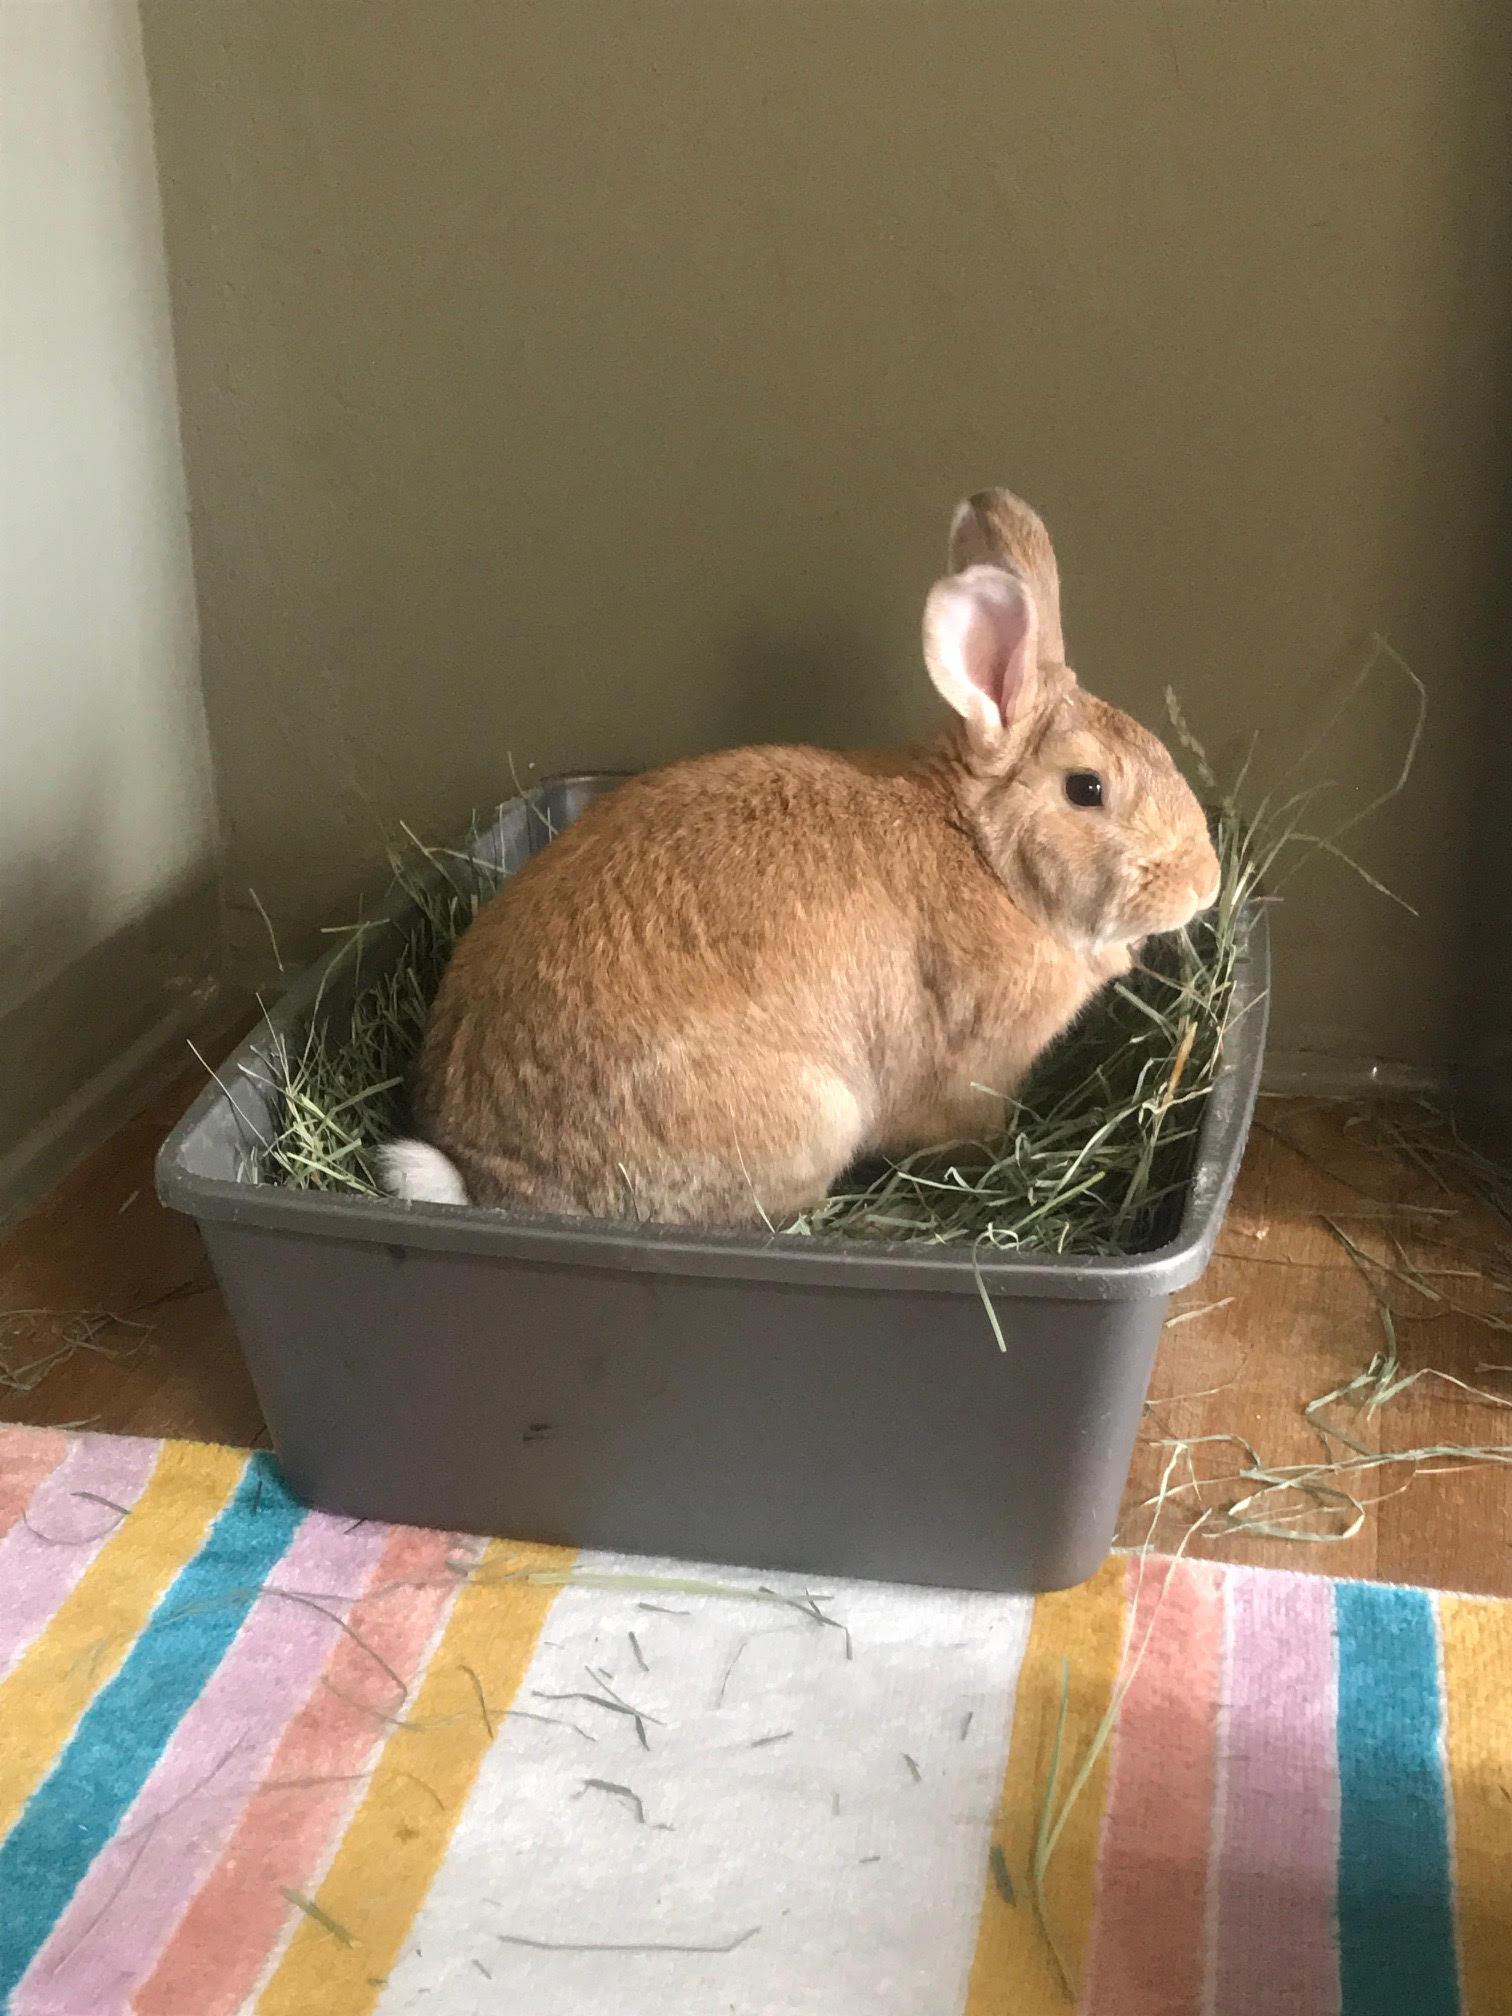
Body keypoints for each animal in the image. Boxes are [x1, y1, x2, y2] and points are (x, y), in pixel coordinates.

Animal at [378, 488, 1221, 1227]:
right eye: (1087, 789)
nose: (1206, 886)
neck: (987, 855)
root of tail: (491, 1176)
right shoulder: (971, 1075)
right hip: (813, 1117)